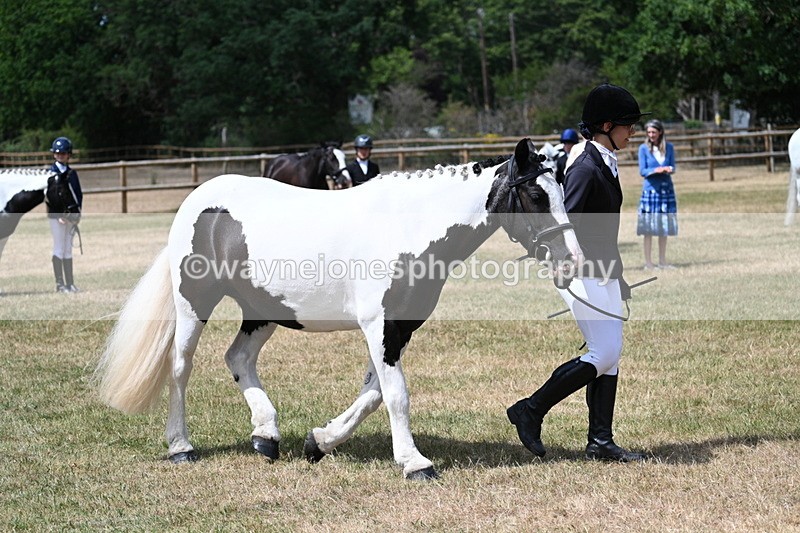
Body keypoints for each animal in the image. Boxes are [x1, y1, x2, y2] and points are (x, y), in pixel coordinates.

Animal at [96, 138, 581, 480]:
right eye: (536, 195)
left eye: (561, 190)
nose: (571, 261)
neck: (409, 227)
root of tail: (198, 200)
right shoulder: (378, 326)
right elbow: (396, 395)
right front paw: (415, 463)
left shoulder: (397, 329)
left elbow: (373, 394)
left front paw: (319, 442)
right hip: (194, 302)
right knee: (180, 366)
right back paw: (181, 447)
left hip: (264, 310)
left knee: (238, 358)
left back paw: (266, 436)